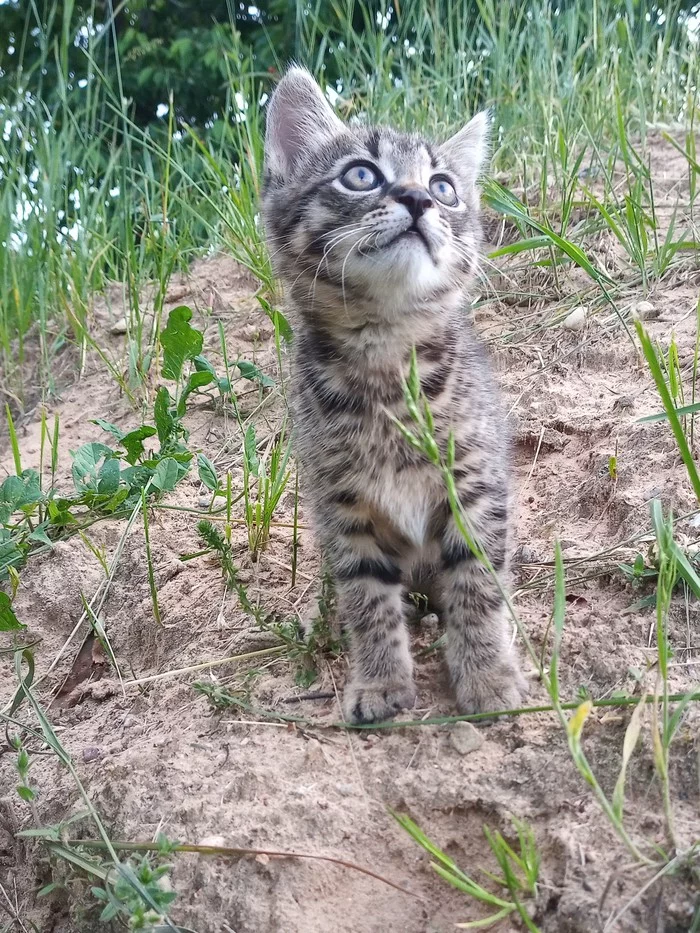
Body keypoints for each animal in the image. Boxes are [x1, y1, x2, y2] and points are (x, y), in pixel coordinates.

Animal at [262, 69, 524, 724]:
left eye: (445, 187)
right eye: (361, 174)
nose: (418, 199)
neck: (386, 354)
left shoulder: (474, 484)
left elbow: (478, 583)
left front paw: (487, 675)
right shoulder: (341, 505)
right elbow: (366, 598)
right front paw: (381, 681)